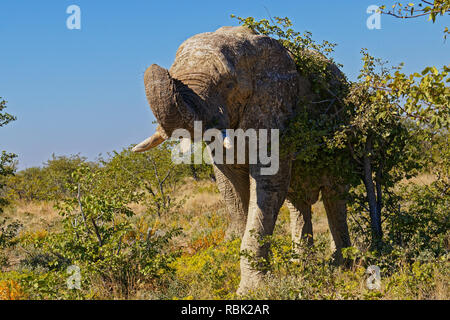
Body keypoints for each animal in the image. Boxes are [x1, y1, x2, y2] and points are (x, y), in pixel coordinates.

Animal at [134, 26, 352, 294]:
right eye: (174, 76)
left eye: (228, 84)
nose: (156, 66)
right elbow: (231, 188)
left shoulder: (274, 108)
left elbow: (269, 184)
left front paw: (251, 290)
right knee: (297, 200)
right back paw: (303, 266)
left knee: (334, 194)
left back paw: (341, 265)